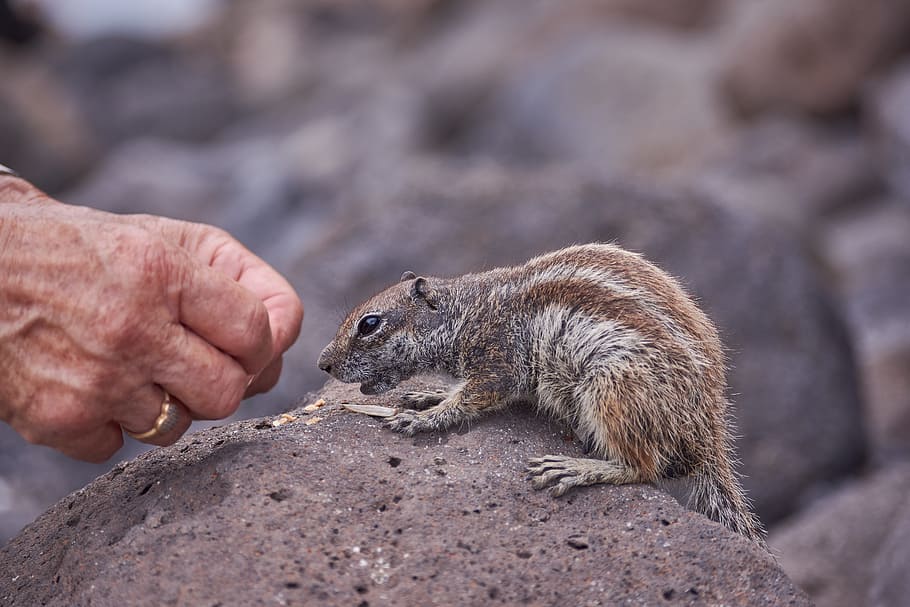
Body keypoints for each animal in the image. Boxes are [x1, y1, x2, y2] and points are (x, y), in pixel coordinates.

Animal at [320, 242, 768, 548]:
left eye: (369, 324)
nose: (323, 363)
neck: (467, 311)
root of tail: (708, 434)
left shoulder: (499, 360)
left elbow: (473, 397)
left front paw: (426, 417)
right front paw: (425, 397)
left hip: (612, 388)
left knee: (642, 466)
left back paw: (576, 468)